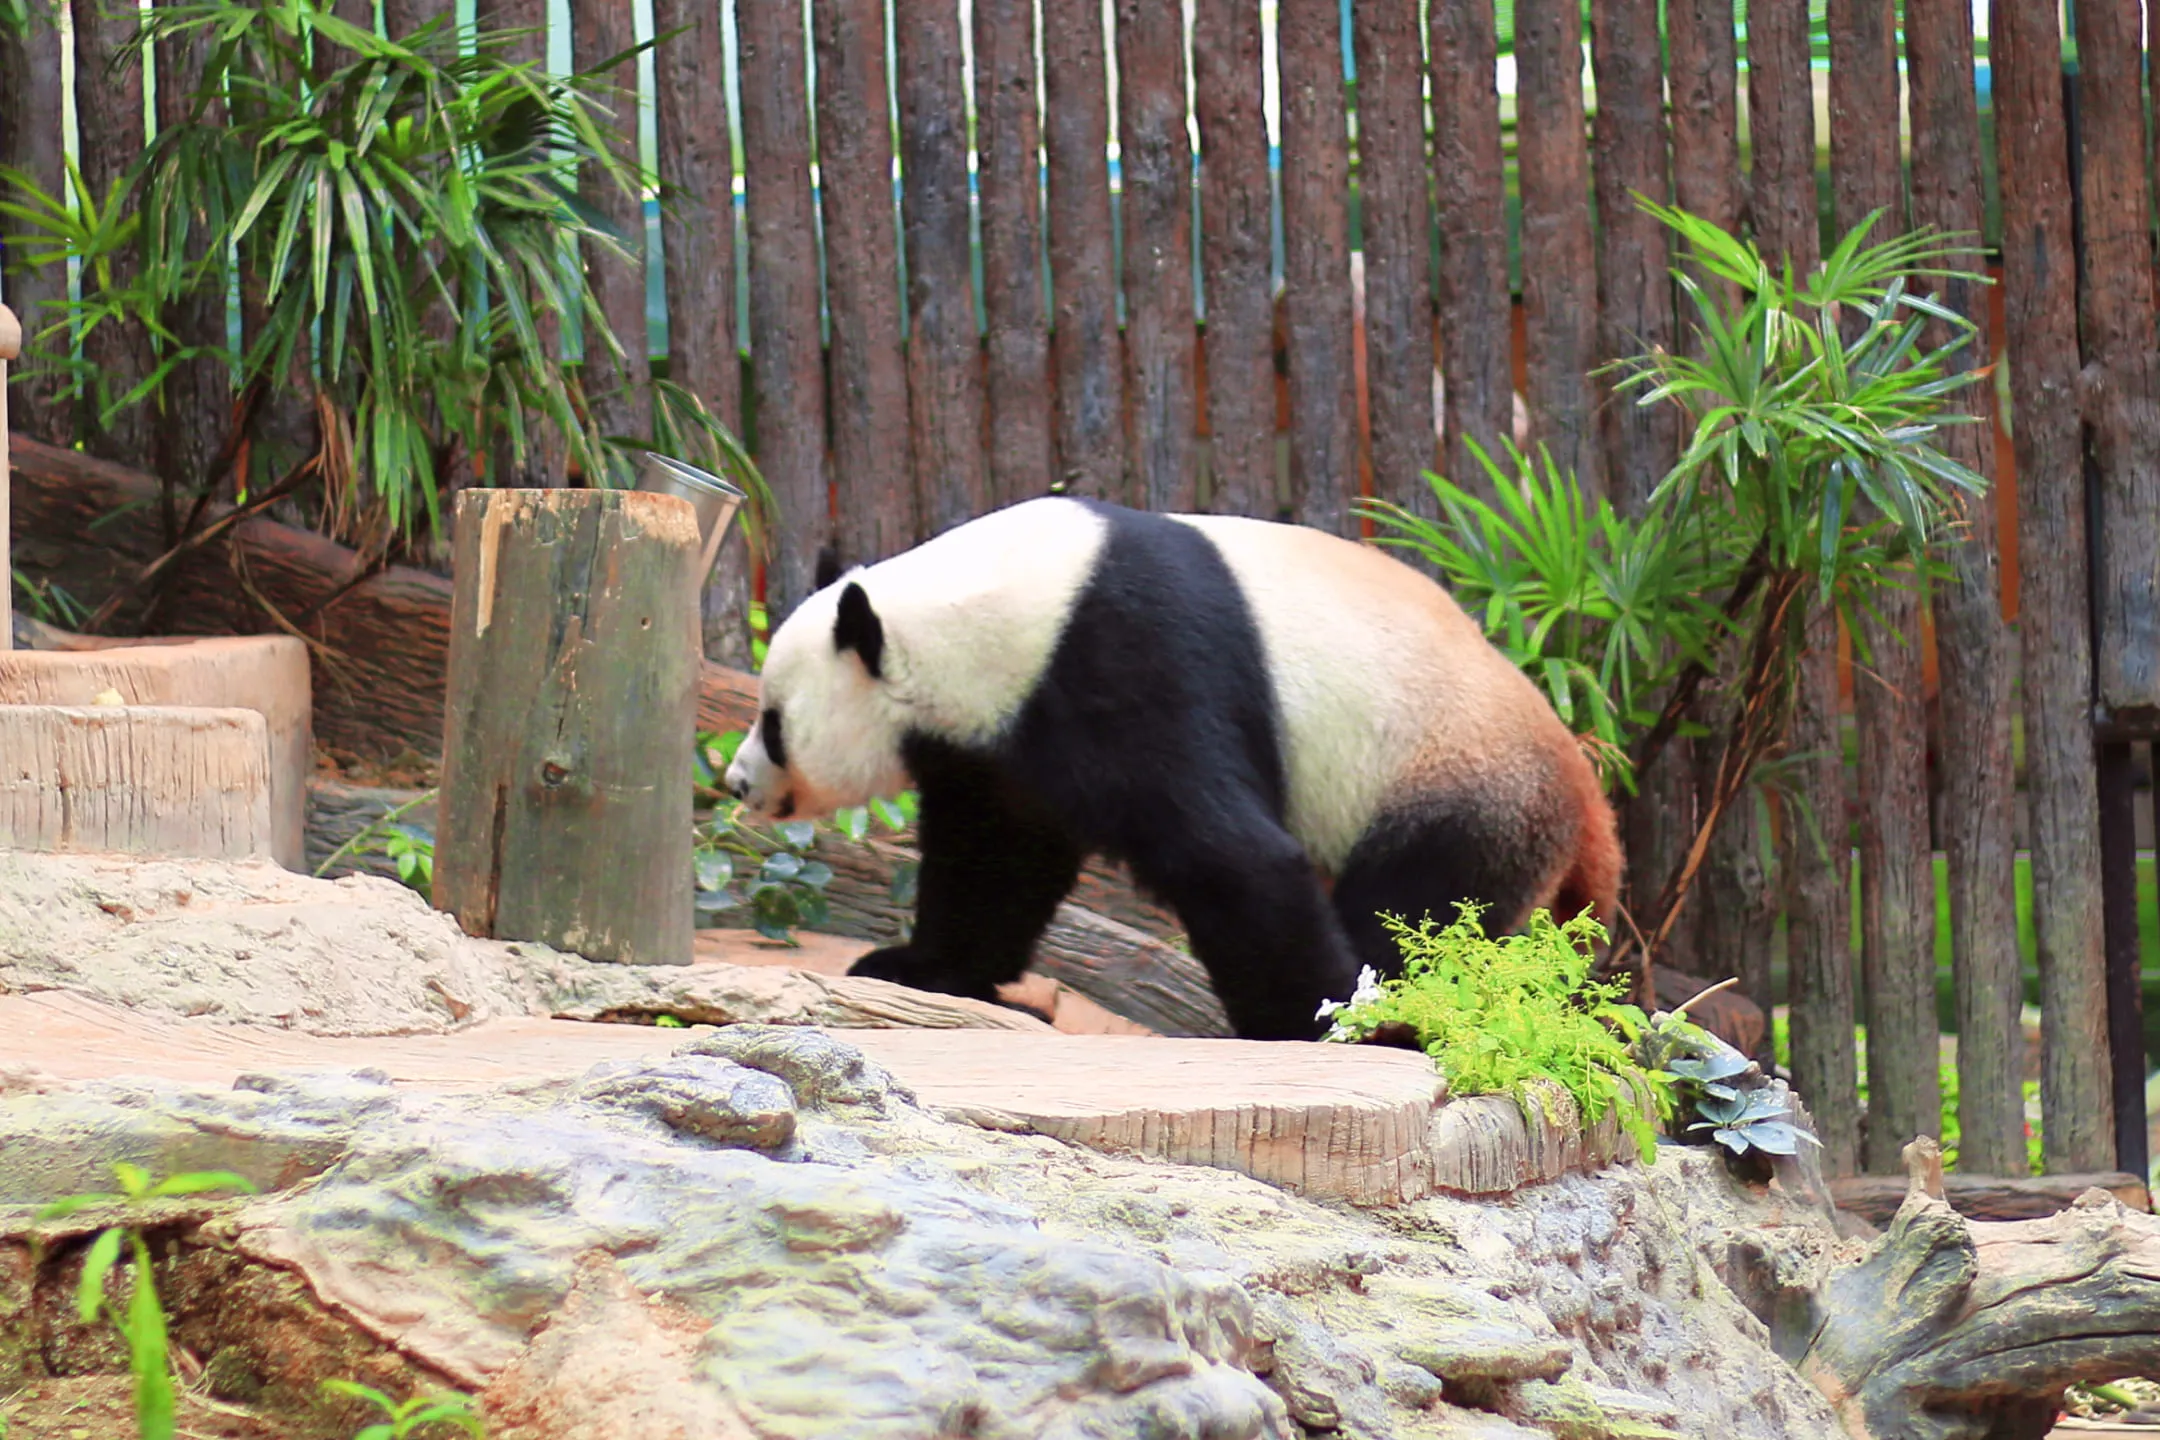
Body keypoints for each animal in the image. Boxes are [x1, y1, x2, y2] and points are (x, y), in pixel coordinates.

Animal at [724, 496, 1621, 1041]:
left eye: (773, 723)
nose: (737, 784)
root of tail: (1582, 786)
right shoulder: (1005, 735)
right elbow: (996, 857)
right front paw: (922, 968)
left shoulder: (1129, 657)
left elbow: (1229, 855)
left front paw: (1316, 1022)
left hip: (1454, 776)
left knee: (1418, 906)